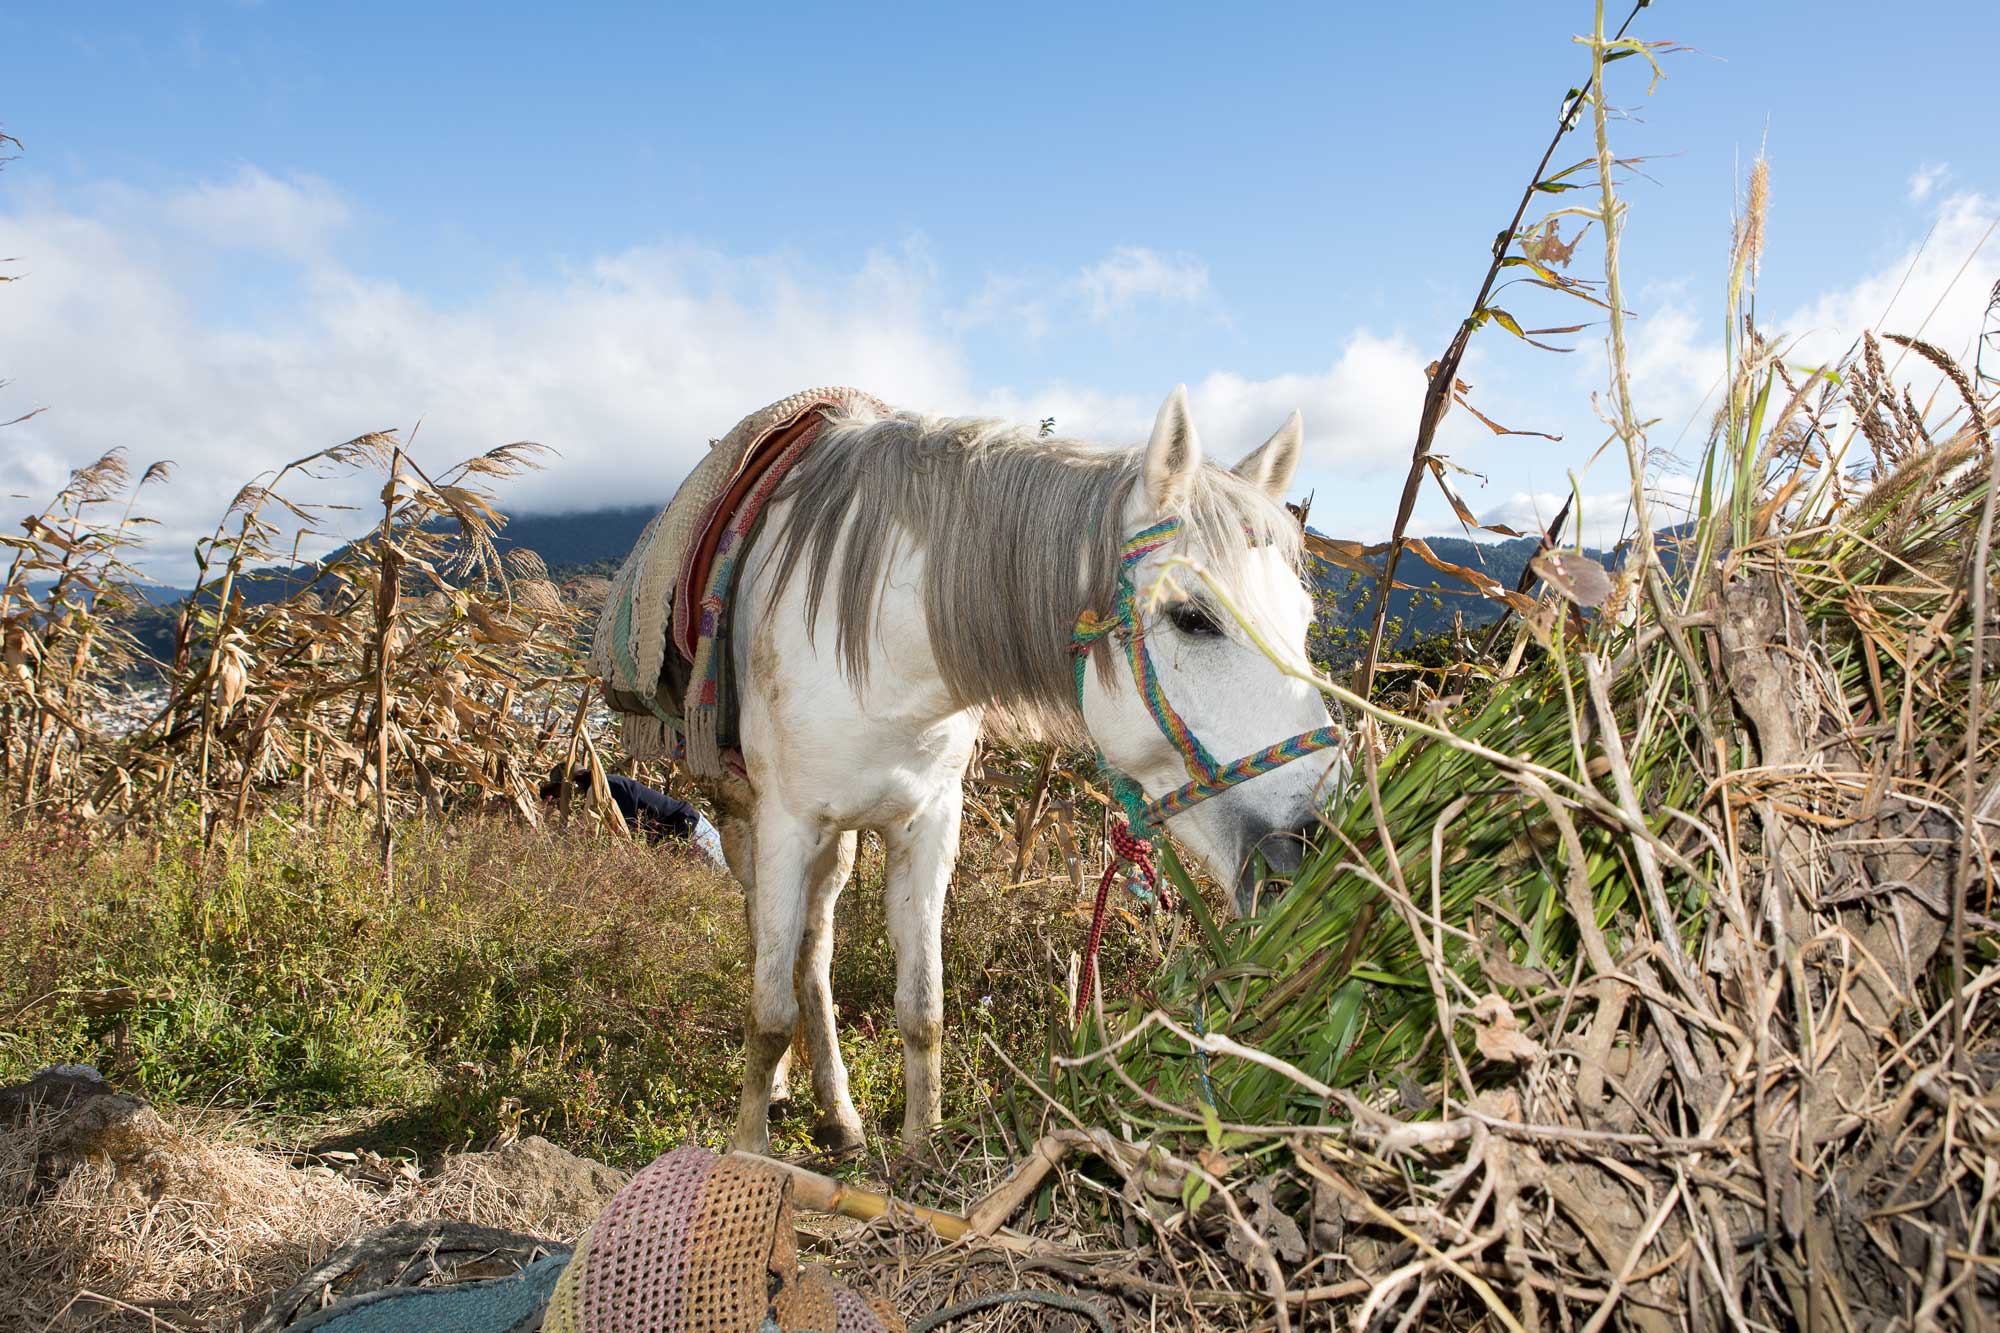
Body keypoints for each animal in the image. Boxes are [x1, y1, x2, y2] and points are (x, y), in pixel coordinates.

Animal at [712, 384, 1336, 1152]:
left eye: (1303, 622)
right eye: (1193, 618)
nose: (1312, 840)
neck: (876, 649)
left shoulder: (927, 823)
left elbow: (922, 1006)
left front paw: (923, 1147)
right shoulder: (787, 824)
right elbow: (767, 1011)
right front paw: (747, 1152)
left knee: (813, 946)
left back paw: (839, 1111)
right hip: (745, 817)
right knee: (773, 938)